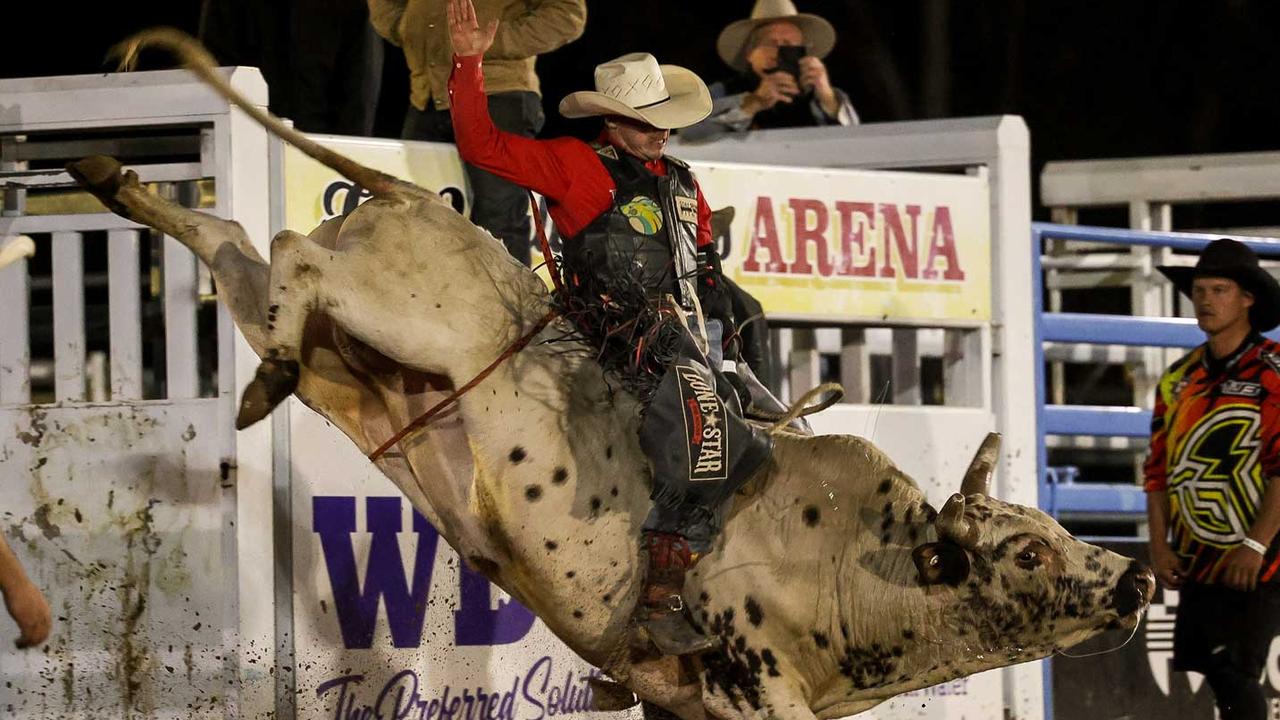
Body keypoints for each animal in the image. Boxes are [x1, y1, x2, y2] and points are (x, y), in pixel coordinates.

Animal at [45, 30, 1157, 717]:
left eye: (1051, 531)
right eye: (1024, 552)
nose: (1138, 575)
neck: (856, 559)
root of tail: (412, 197)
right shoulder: (754, 688)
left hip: (348, 358)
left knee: (234, 240)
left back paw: (119, 185)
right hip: (391, 315)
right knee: (286, 251)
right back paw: (255, 378)